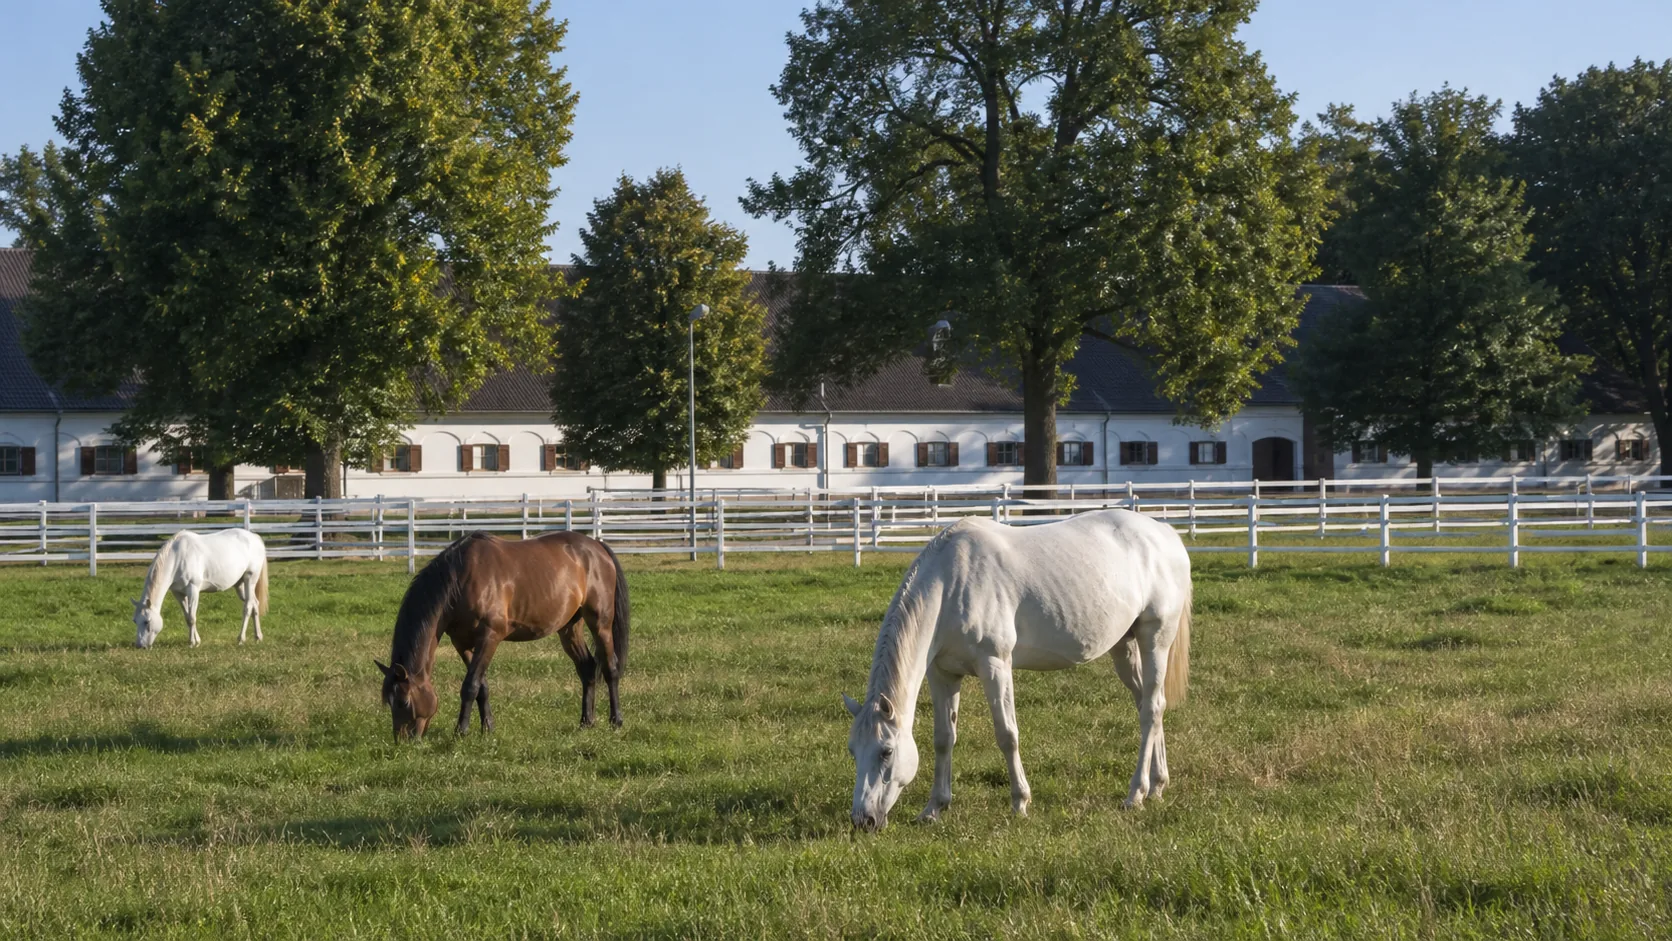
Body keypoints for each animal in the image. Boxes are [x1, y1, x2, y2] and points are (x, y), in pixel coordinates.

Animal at [132, 529, 270, 649]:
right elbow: (187, 617)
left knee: (248, 607)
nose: (140, 646)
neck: (178, 557)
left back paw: (241, 639)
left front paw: (192, 643)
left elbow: (192, 617)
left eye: (147, 621)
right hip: (240, 585)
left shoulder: (193, 590)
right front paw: (195, 641)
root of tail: (254, 537)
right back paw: (258, 637)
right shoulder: (179, 593)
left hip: (250, 579)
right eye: (135, 621)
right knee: (255, 604)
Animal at [376, 529, 630, 740]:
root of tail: (597, 547)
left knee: (610, 668)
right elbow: (481, 686)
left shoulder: (490, 637)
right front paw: (487, 727)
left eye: (403, 701)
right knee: (587, 668)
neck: (460, 579)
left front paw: (461, 731)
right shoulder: (462, 642)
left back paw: (616, 720)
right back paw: (586, 722)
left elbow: (470, 685)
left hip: (600, 623)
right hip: (569, 627)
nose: (402, 741)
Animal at [843, 508, 1192, 830]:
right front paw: (934, 808)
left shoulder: (995, 665)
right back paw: (1158, 785)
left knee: (1151, 710)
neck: (951, 584)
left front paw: (1020, 803)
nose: (863, 820)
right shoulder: (943, 674)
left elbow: (1007, 734)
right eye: (853, 751)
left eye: (886, 751)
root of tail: (1165, 534)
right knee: (1149, 705)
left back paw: (1136, 794)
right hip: (1124, 647)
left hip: (1155, 639)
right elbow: (943, 738)